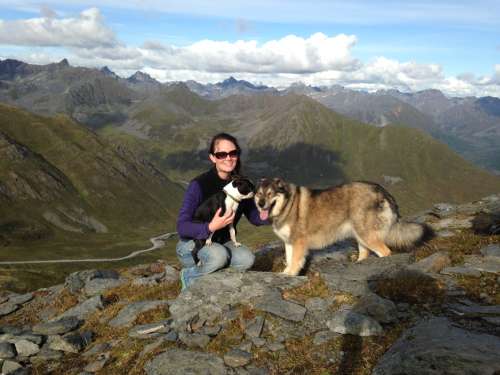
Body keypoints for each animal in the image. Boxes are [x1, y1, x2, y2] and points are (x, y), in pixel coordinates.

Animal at [256, 179, 428, 276]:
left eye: (270, 194)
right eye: (259, 194)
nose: (261, 204)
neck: (288, 205)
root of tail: (382, 191)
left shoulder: (299, 242)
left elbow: (295, 261)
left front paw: (291, 274)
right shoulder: (289, 243)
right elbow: (289, 259)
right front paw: (285, 273)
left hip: (367, 235)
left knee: (385, 252)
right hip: (360, 236)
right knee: (365, 253)